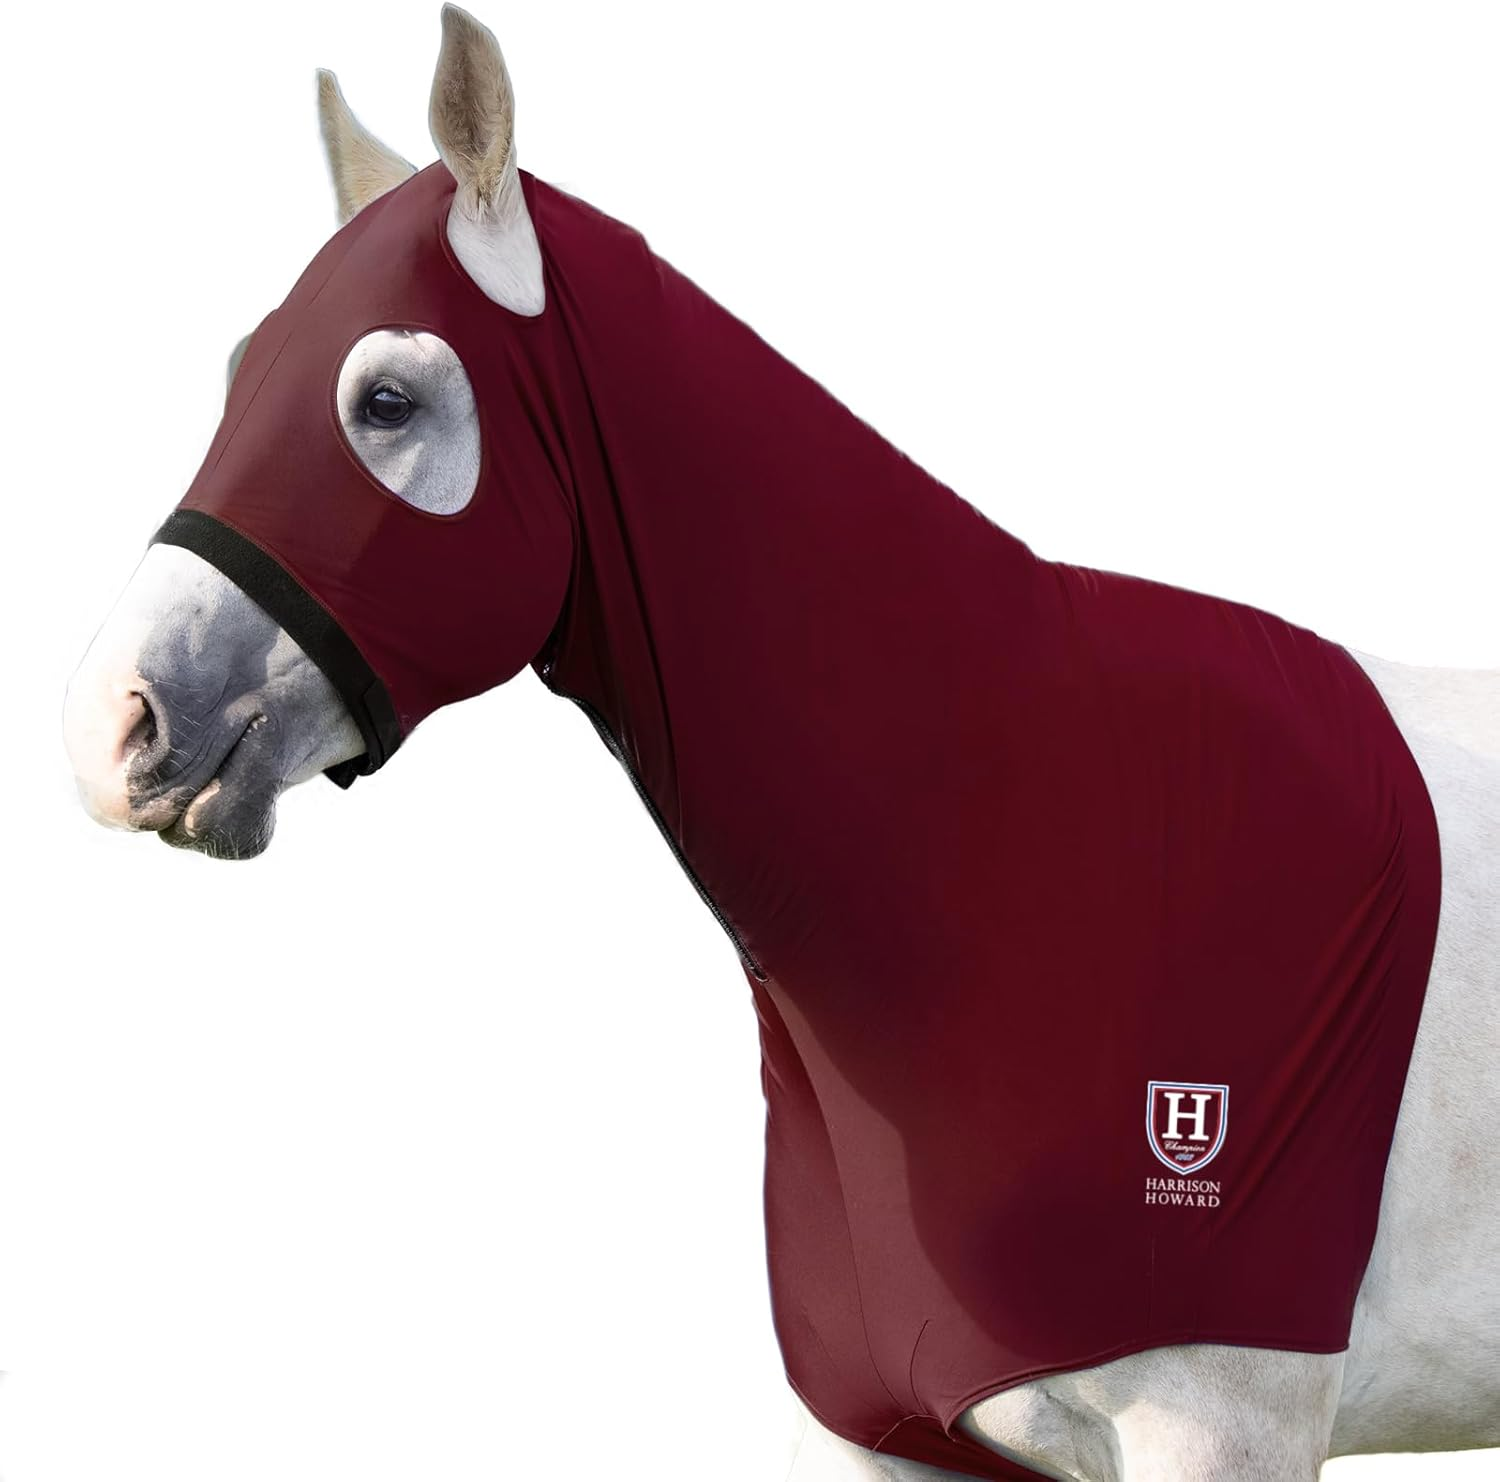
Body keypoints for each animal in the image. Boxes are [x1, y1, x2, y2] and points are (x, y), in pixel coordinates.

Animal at [62, 8, 1498, 1478]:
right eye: (239, 373)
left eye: (387, 400)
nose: (114, 722)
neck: (1016, 847)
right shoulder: (892, 1433)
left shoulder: (1221, 1428)